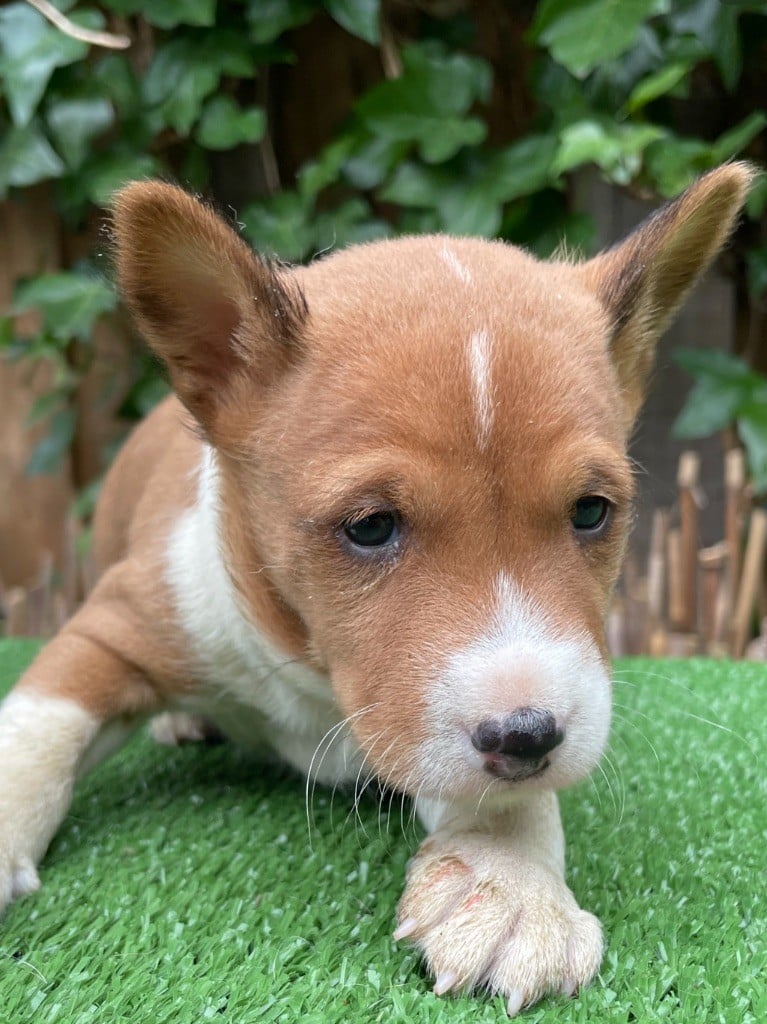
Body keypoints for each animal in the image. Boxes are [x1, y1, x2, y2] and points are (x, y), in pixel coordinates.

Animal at [0, 163, 753, 1011]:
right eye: (369, 527)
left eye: (591, 511)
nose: (526, 738)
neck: (312, 675)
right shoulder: (112, 629)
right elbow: (35, 732)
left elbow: (503, 798)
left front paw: (510, 881)